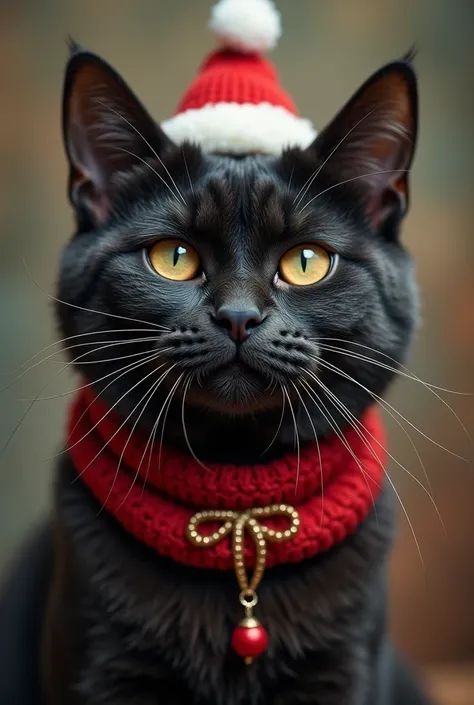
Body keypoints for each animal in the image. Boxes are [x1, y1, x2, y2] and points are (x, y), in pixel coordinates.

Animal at [0, 17, 434, 705]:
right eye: (172, 257)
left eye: (306, 262)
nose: (237, 315)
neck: (238, 513)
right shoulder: (100, 662)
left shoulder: (344, 670)